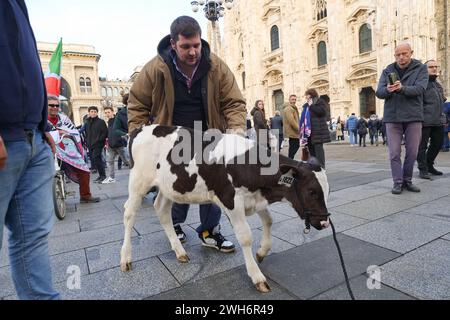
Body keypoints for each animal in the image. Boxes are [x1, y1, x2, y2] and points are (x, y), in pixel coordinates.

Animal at [119, 124, 330, 292]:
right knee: (129, 213)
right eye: (312, 191)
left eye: (327, 191)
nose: (325, 222)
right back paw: (126, 258)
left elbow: (269, 221)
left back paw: (179, 252)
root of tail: (142, 128)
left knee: (162, 210)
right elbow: (245, 237)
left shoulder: (256, 198)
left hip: (169, 186)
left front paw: (262, 252)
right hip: (138, 181)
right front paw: (257, 276)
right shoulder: (231, 200)